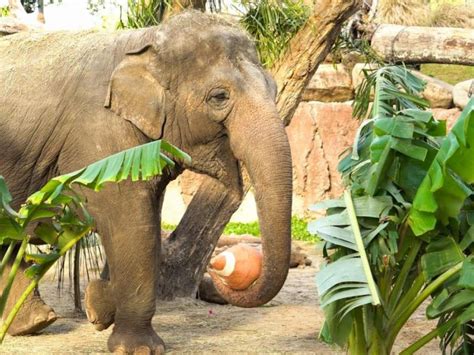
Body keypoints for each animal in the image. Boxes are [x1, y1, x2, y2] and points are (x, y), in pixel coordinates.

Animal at [0, 10, 292, 354]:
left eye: (274, 89)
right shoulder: (102, 133)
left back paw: (35, 323)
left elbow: (148, 221)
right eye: (219, 97)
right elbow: (131, 222)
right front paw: (139, 349)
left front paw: (98, 305)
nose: (219, 270)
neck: (145, 41)